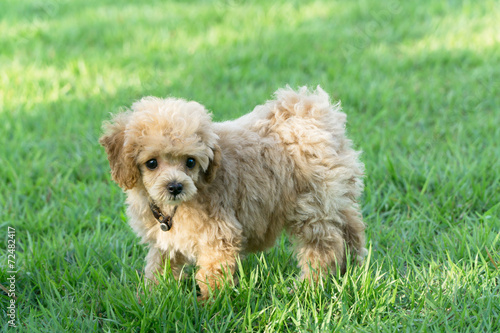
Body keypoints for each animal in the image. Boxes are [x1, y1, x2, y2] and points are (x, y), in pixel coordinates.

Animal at [99, 86, 368, 298]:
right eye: (152, 163)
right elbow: (158, 266)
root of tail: (311, 110)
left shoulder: (218, 232)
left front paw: (209, 304)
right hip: (335, 197)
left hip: (312, 204)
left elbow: (212, 271)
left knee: (323, 247)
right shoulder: (165, 240)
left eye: (190, 162)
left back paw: (308, 286)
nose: (175, 186)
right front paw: (149, 298)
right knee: (351, 228)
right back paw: (353, 267)